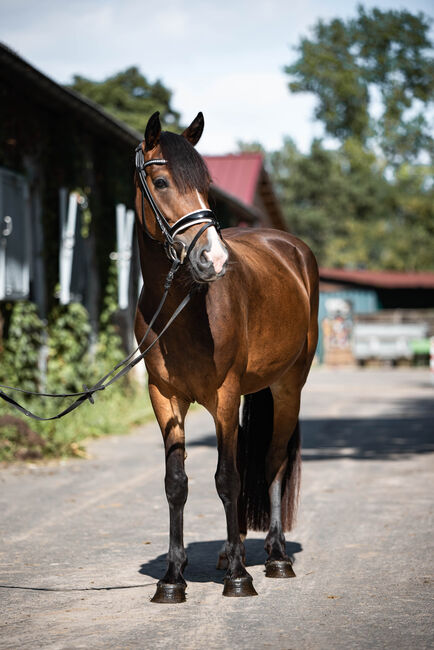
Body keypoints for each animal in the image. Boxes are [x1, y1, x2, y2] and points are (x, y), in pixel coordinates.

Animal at [134, 111, 318, 604]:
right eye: (161, 181)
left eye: (206, 184)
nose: (212, 259)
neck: (183, 308)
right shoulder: (164, 398)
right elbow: (176, 482)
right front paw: (172, 579)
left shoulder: (224, 395)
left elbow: (229, 478)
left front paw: (239, 576)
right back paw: (230, 552)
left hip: (288, 388)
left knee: (272, 463)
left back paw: (275, 555)